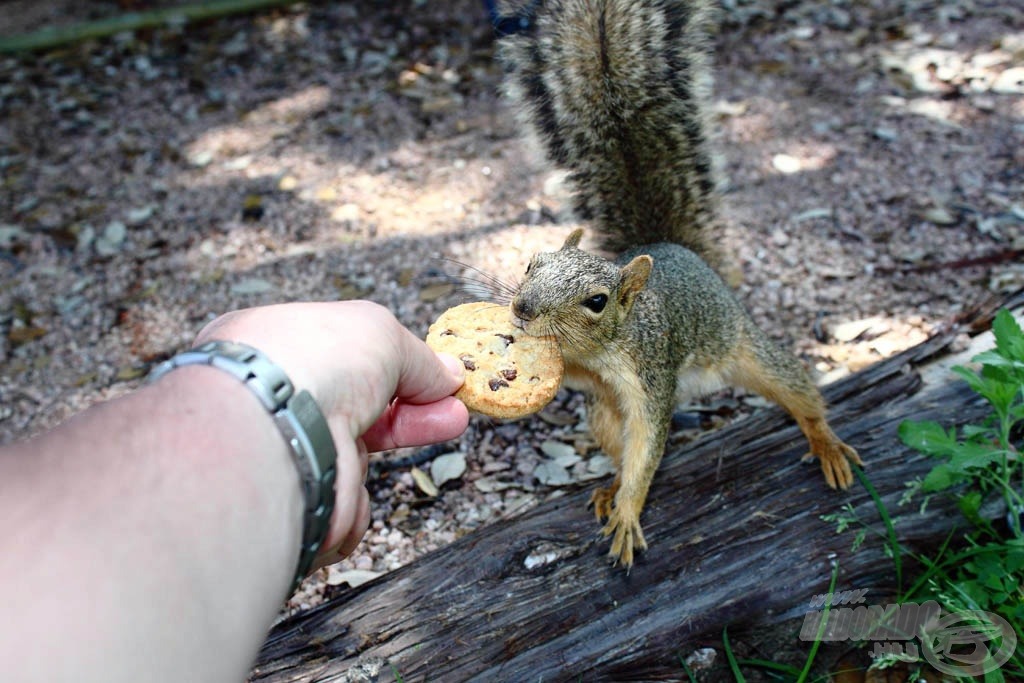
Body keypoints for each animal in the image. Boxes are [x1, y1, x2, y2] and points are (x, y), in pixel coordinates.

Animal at [491, 0, 860, 565]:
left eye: (596, 301)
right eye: (534, 262)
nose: (523, 309)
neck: (596, 354)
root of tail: (676, 246)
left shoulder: (652, 374)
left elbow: (649, 446)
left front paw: (628, 514)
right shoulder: (584, 377)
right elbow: (629, 446)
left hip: (744, 349)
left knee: (797, 390)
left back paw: (825, 441)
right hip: (604, 415)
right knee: (614, 442)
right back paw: (608, 485)